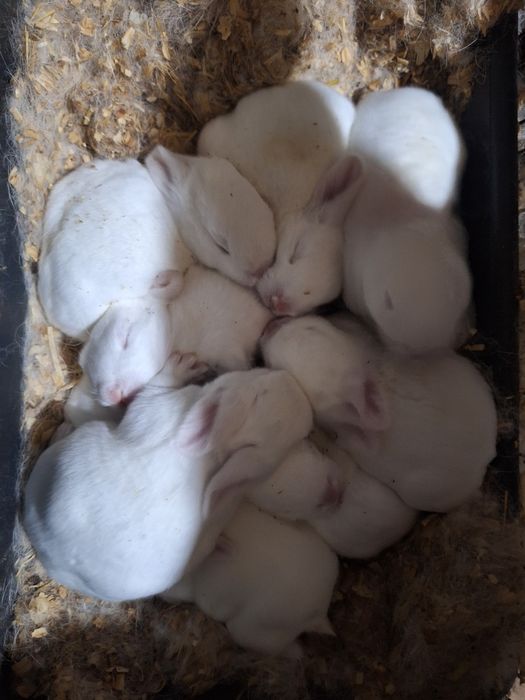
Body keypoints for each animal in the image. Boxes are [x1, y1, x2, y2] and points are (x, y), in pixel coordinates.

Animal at [23, 368, 314, 601]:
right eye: (259, 396)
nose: (293, 383)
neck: (214, 451)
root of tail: (46, 552)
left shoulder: (152, 411)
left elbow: (151, 390)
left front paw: (182, 363)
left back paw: (61, 431)